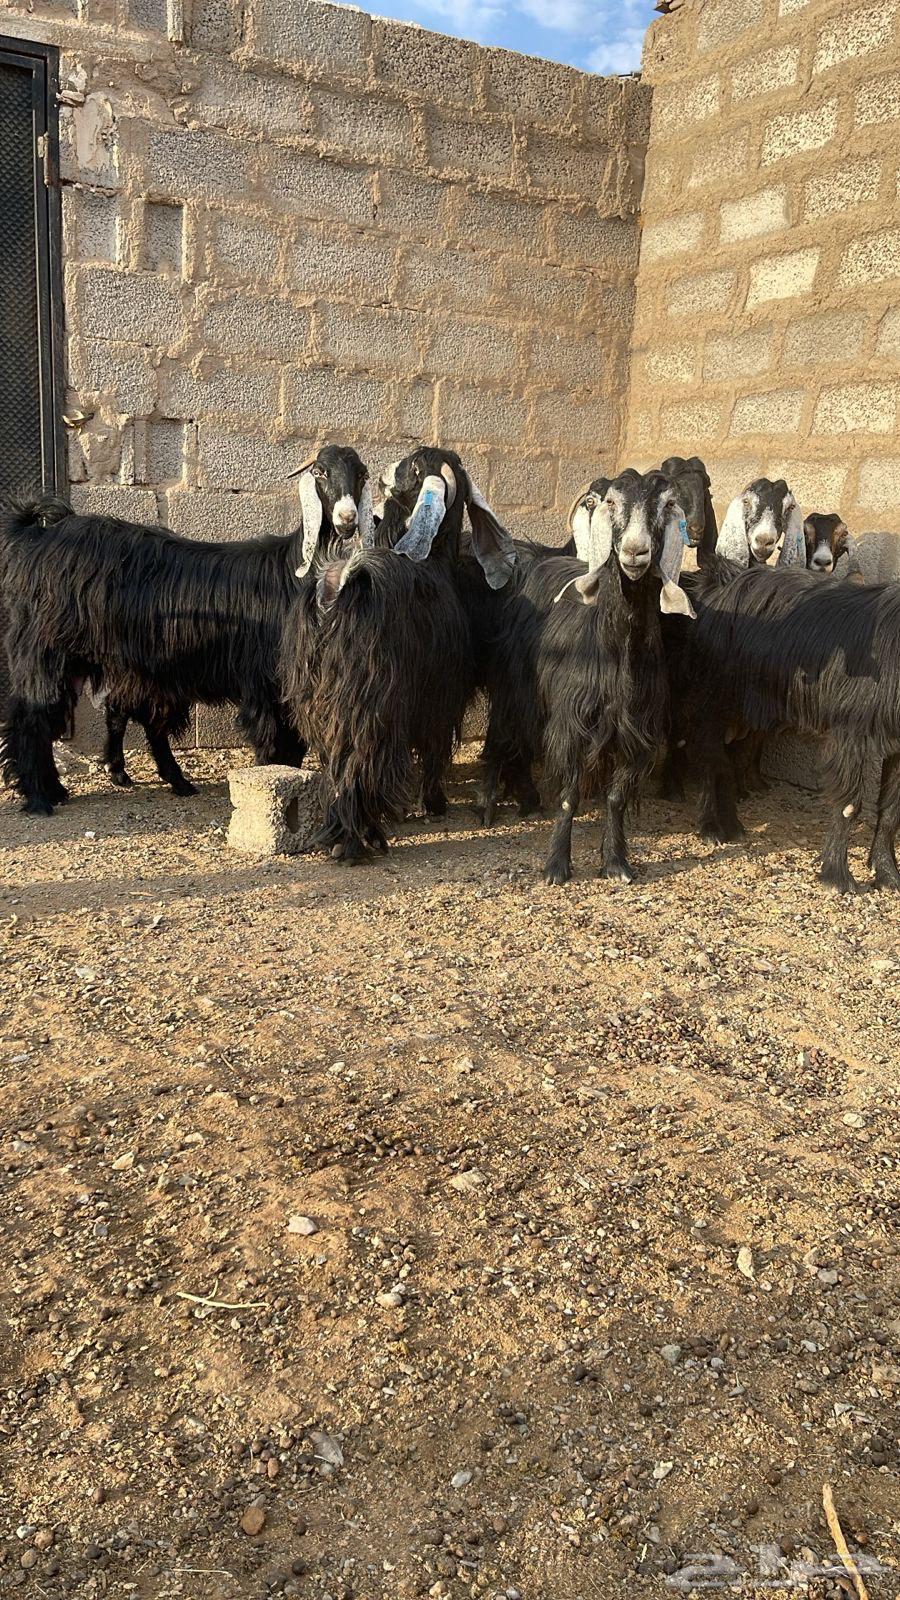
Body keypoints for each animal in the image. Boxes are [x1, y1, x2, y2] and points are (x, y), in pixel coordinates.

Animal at [0, 444, 371, 814]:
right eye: (320, 473)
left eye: (362, 474)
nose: (347, 520)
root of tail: (38, 536)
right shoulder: (267, 684)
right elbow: (277, 745)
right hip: (45, 652)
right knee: (32, 720)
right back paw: (39, 798)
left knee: (79, 717)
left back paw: (75, 787)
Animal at [281, 445, 516, 863]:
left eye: (414, 464)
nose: (385, 472)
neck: (435, 563)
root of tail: (338, 585)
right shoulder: (440, 696)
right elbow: (435, 747)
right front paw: (433, 804)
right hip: (369, 698)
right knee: (361, 757)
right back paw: (357, 839)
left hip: (318, 697)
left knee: (334, 755)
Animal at [479, 469, 693, 885]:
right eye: (610, 501)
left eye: (667, 505)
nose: (635, 552)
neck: (617, 657)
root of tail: (538, 560)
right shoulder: (572, 722)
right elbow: (569, 796)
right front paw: (556, 867)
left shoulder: (636, 730)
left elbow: (616, 798)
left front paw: (616, 863)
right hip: (515, 685)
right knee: (502, 733)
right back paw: (488, 803)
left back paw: (527, 799)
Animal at [684, 564, 900, 893]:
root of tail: (716, 587)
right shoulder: (851, 733)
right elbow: (849, 804)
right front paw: (837, 876)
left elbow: (890, 810)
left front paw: (888, 874)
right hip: (716, 700)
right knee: (709, 756)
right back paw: (711, 827)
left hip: (749, 711)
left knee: (731, 756)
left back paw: (732, 822)